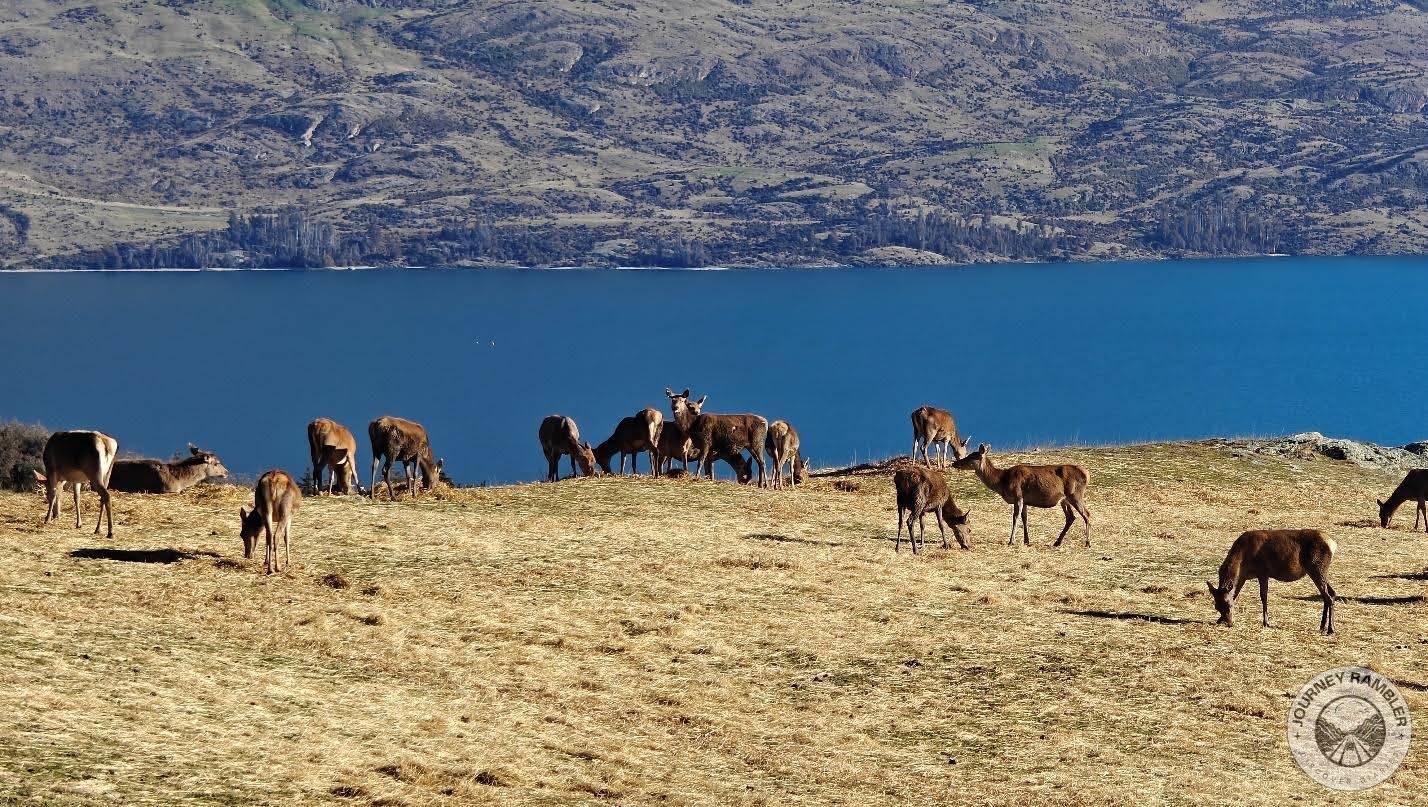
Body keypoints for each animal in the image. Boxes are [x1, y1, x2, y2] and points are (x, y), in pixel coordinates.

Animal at [952, 443, 1091, 547]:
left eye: (971, 456)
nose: (954, 463)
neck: (1002, 481)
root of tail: (1087, 474)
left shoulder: (1017, 495)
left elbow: (1015, 517)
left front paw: (1011, 541)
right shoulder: (1025, 500)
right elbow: (1025, 518)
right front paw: (1026, 541)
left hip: (1075, 494)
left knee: (1087, 514)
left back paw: (1088, 543)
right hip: (1064, 499)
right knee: (1071, 517)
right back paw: (1057, 542)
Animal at [1207, 529, 1338, 634]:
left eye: (1229, 605)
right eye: (1216, 606)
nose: (1228, 623)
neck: (1242, 564)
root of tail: (1333, 544)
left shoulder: (1263, 572)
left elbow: (1263, 596)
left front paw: (1266, 622)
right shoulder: (1245, 578)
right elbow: (1236, 594)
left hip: (1317, 568)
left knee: (1328, 597)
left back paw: (1331, 629)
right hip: (1319, 571)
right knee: (1331, 594)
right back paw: (1322, 627)